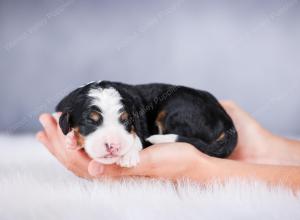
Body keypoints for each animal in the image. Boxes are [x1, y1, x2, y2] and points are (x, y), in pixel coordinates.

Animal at [55, 81, 237, 167]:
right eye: (90, 121)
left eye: (126, 120)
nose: (114, 146)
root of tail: (227, 121)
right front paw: (72, 139)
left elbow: (137, 138)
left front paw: (128, 156)